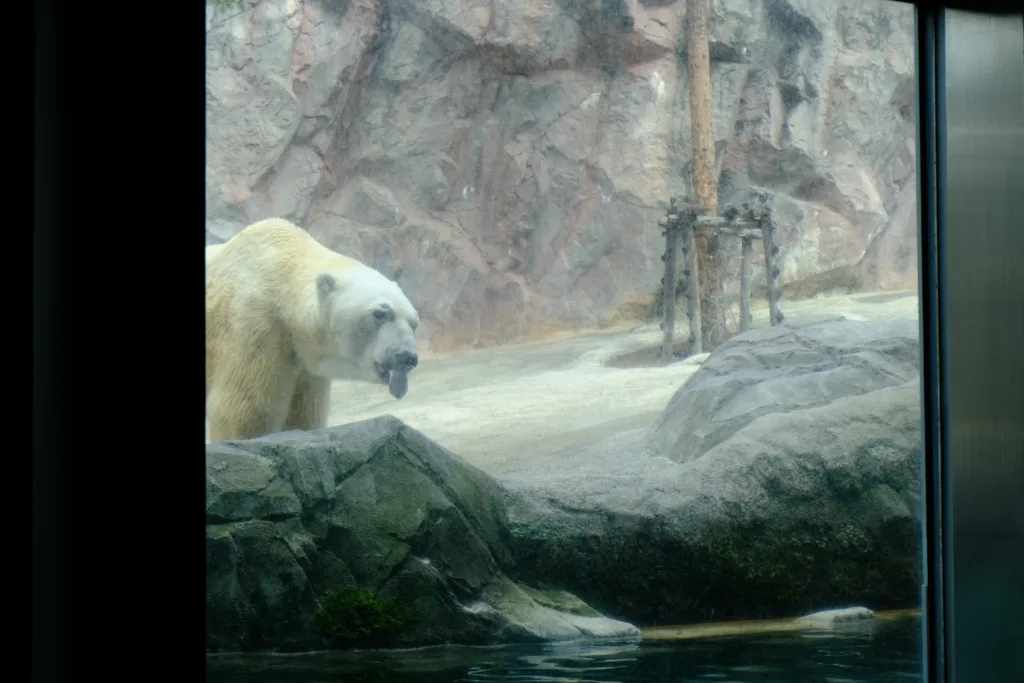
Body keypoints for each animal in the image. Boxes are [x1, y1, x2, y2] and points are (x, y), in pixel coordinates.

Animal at [204, 219, 419, 444]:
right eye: (380, 313)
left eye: (414, 323)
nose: (406, 356)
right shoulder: (255, 324)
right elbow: (245, 409)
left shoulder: (306, 364)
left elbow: (304, 413)